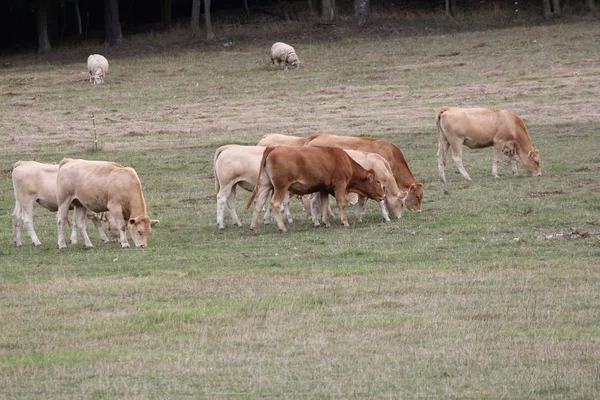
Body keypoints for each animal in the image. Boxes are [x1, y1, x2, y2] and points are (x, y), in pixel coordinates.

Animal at [244, 146, 384, 234]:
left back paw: (253, 228)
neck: (345, 161)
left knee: (259, 203)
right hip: (281, 187)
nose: (383, 195)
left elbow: (325, 204)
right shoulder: (340, 185)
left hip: (266, 185)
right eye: (378, 181)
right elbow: (341, 203)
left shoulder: (324, 189)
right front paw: (345, 222)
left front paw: (326, 223)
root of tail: (273, 148)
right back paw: (282, 228)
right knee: (275, 203)